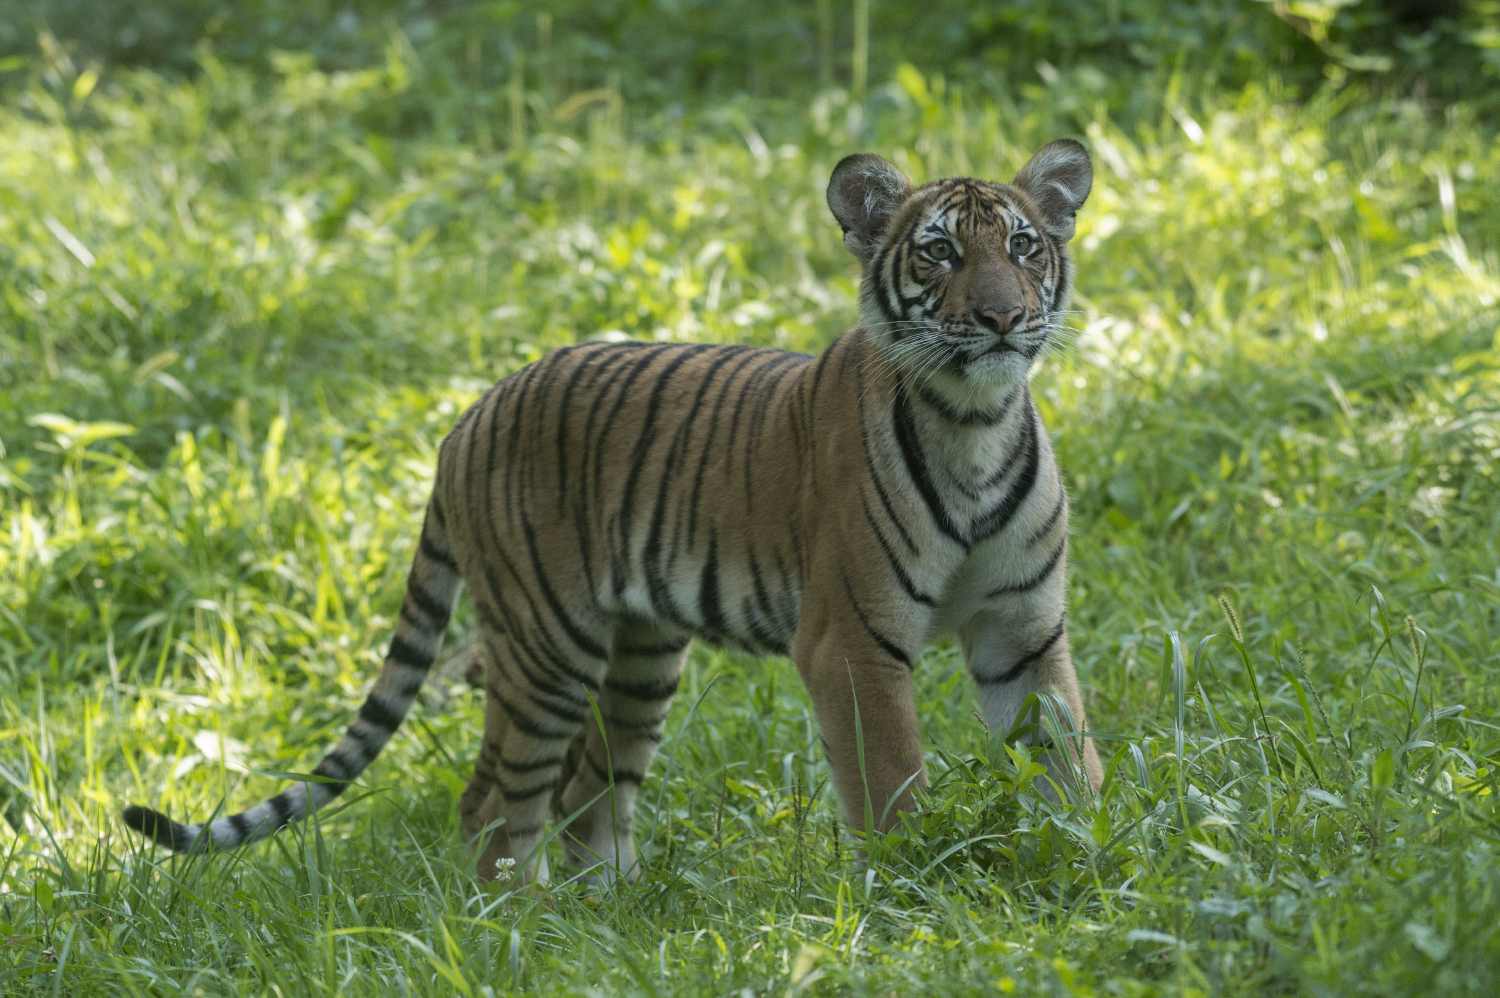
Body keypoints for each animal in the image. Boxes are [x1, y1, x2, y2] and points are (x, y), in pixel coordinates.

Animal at [126, 136, 1104, 882]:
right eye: (939, 253)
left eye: (1023, 247)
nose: (1003, 317)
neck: (975, 422)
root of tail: (465, 419)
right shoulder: (852, 643)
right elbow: (892, 779)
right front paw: (912, 880)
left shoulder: (1024, 631)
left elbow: (1069, 749)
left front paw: (1094, 851)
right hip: (545, 646)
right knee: (493, 799)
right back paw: (519, 924)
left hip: (640, 656)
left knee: (584, 795)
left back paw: (618, 918)